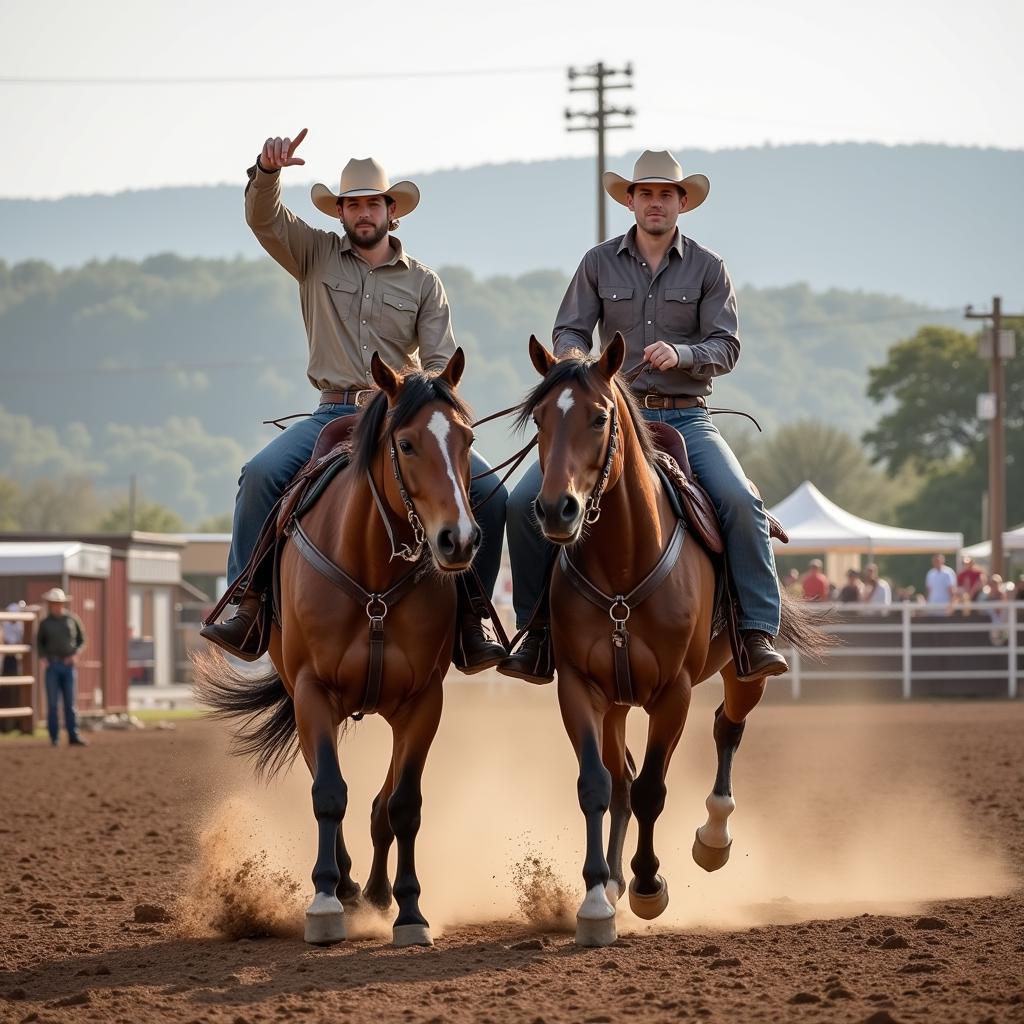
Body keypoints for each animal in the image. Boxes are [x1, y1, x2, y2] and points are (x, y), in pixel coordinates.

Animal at [193, 348, 481, 946]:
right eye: (406, 444)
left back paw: (374, 892)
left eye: (466, 439)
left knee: (378, 805)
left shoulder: (424, 701)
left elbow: (402, 804)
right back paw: (345, 887)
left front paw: (410, 910)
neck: (371, 571)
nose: (458, 540)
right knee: (328, 786)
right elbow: (328, 791)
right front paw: (325, 902)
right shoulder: (312, 691)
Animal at [516, 333, 827, 942]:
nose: (556, 509)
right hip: (616, 700)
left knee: (728, 725)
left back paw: (713, 840)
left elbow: (652, 789)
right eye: (539, 418)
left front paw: (647, 885)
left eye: (598, 417)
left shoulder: (673, 693)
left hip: (743, 670)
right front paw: (597, 900)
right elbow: (598, 785)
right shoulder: (579, 687)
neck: (623, 559)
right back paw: (614, 881)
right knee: (620, 778)